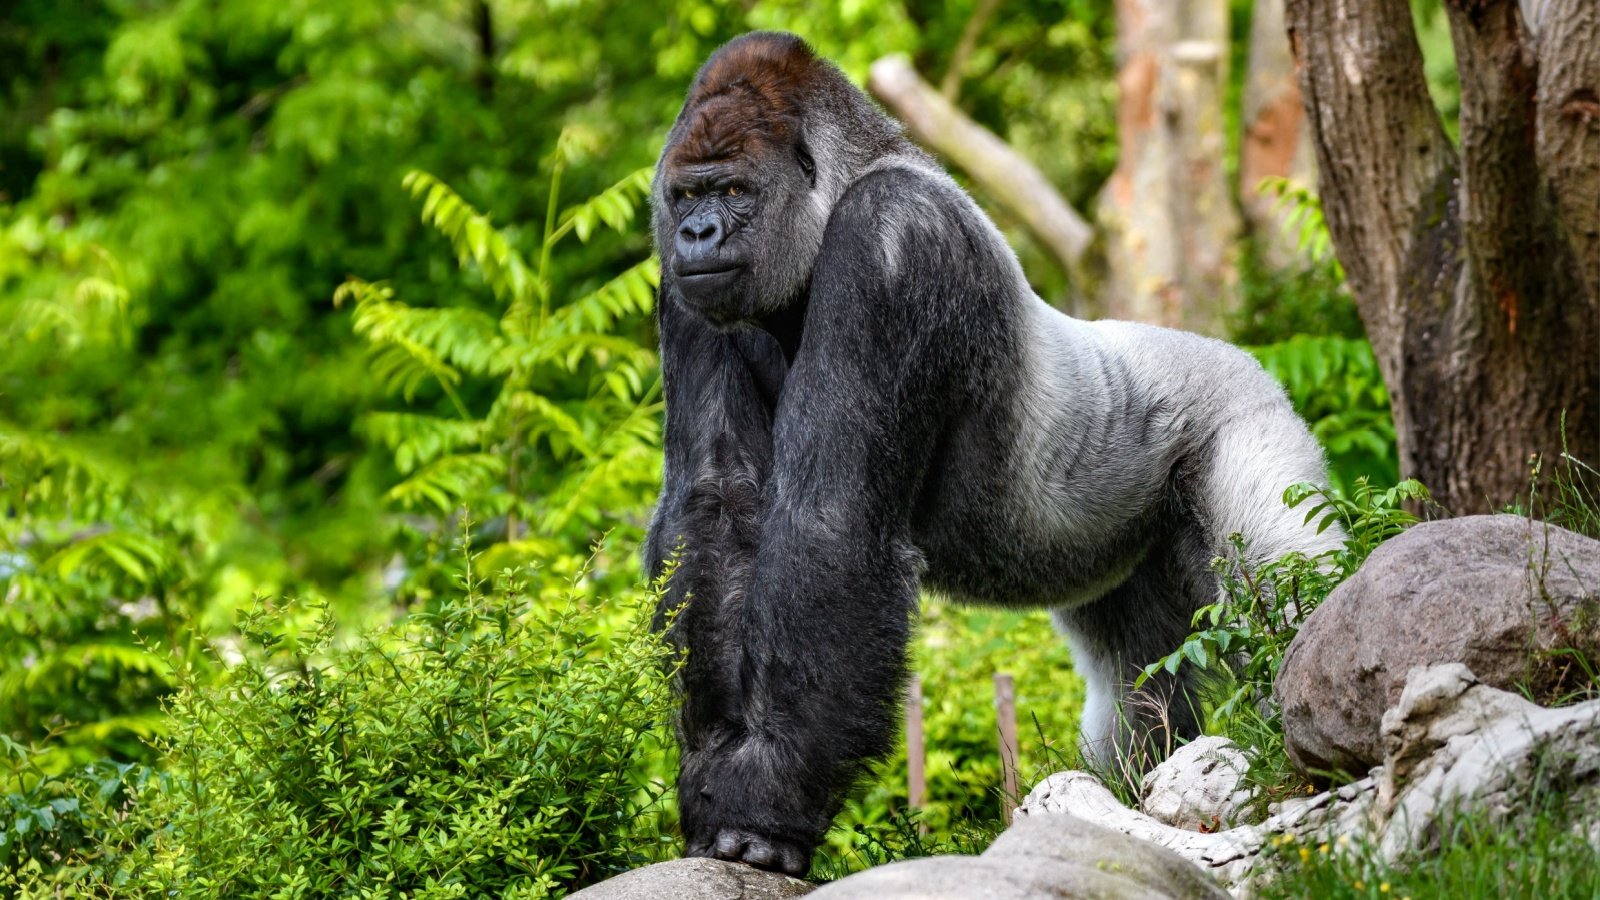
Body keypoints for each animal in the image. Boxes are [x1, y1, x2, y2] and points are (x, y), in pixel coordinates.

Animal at [643, 33, 1331, 871]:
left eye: (736, 190)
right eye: (686, 197)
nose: (697, 235)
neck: (844, 182)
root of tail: (1249, 363)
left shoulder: (894, 241)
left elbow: (830, 521)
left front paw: (766, 804)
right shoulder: (687, 290)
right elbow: (715, 509)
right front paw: (714, 779)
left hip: (1249, 421)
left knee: (1286, 597)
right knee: (1134, 679)